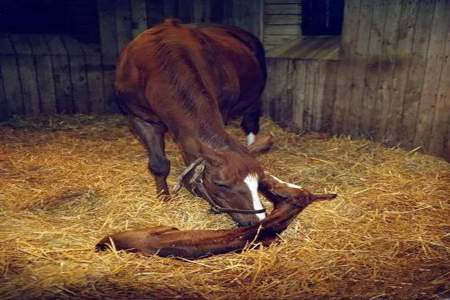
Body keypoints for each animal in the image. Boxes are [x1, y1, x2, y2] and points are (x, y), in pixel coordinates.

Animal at [117, 18, 270, 225]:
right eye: (221, 184)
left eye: (258, 182)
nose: (260, 220)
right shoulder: (139, 118)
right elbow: (159, 164)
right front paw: (164, 198)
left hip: (255, 98)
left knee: (251, 123)